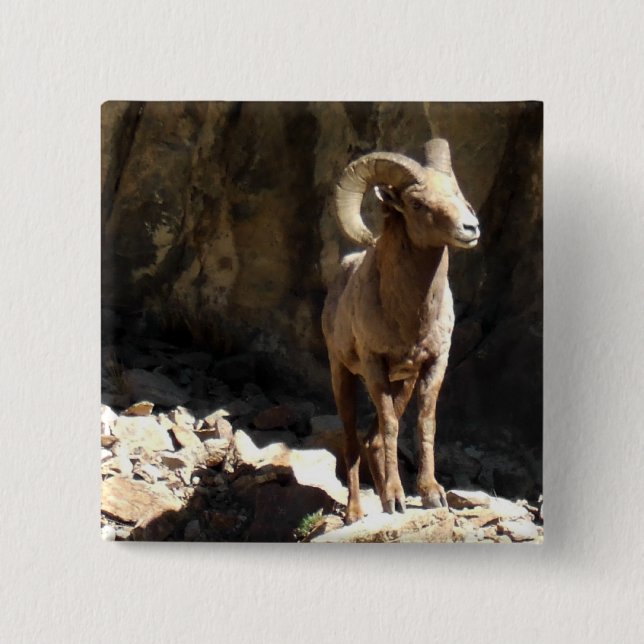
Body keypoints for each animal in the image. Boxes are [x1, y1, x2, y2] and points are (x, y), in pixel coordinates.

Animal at [322, 138, 480, 524]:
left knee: (373, 440)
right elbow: (393, 425)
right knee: (352, 440)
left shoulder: (432, 365)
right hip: (343, 375)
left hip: (401, 384)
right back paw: (356, 512)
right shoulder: (374, 364)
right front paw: (395, 498)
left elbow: (424, 423)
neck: (409, 317)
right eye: (417, 203)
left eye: (455, 193)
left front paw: (430, 494)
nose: (470, 228)